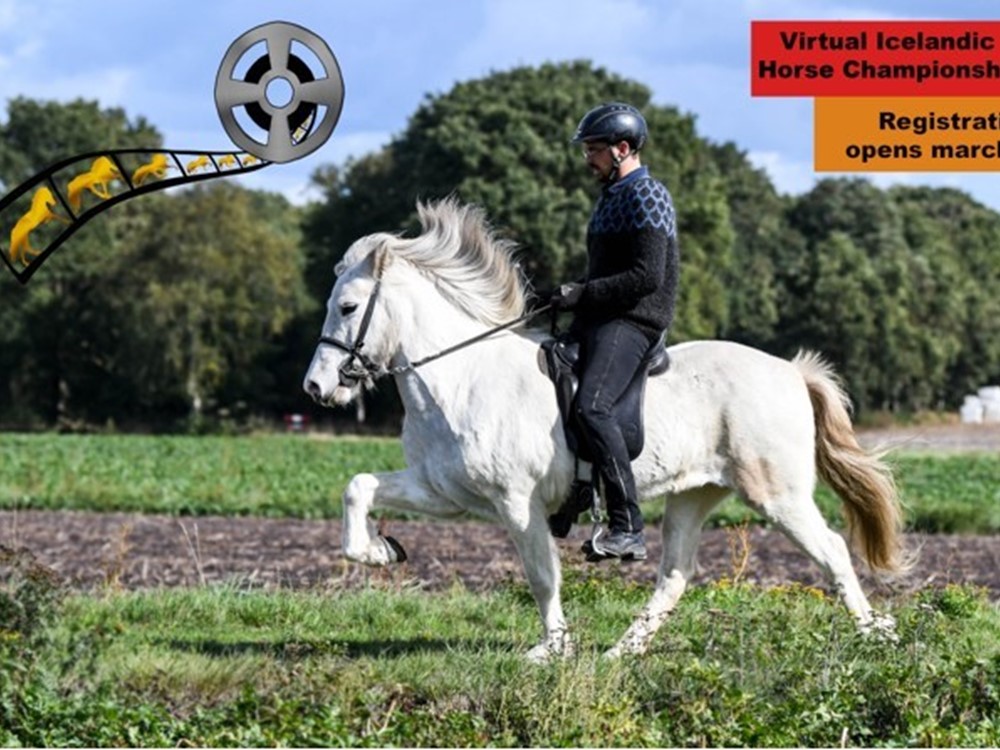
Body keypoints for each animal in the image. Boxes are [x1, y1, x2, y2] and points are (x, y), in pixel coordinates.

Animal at [303, 199, 908, 662]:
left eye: (349, 307)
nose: (316, 386)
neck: (460, 377)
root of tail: (790, 371)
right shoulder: (442, 491)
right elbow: (358, 486)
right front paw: (379, 551)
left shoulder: (516, 502)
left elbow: (541, 574)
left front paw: (551, 649)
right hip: (695, 493)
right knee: (675, 574)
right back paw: (623, 651)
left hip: (776, 494)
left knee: (832, 549)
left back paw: (876, 632)